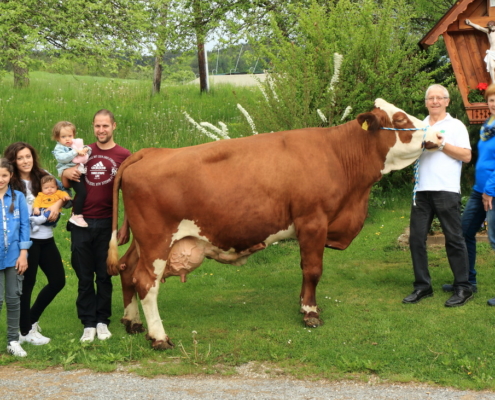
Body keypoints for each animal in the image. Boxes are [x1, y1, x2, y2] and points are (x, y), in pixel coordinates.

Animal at [107, 98, 442, 348]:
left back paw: (132, 322)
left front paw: (305, 306)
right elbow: (313, 270)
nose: (439, 135)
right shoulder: (313, 221)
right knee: (145, 282)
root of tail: (148, 152)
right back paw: (159, 337)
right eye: (400, 119)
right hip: (156, 241)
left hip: (143, 241)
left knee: (126, 270)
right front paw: (310, 314)